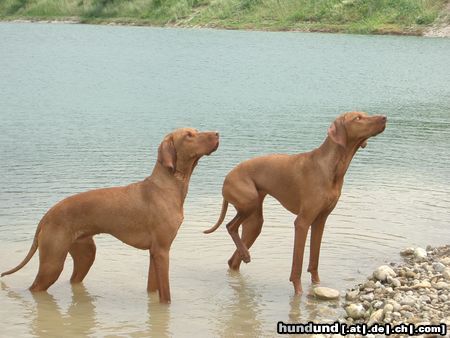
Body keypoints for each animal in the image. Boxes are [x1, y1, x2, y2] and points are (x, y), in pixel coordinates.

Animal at [1, 128, 220, 302]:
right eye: (189, 135)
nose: (218, 133)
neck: (168, 186)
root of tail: (47, 214)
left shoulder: (154, 253)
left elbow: (152, 288)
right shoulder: (162, 250)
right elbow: (166, 297)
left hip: (86, 254)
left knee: (73, 280)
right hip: (52, 262)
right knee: (35, 288)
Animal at [204, 112, 384, 294]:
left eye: (365, 114)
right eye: (358, 118)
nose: (384, 118)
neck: (331, 167)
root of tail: (227, 177)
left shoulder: (320, 221)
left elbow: (314, 260)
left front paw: (316, 284)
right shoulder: (302, 223)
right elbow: (297, 265)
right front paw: (299, 293)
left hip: (254, 223)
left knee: (233, 259)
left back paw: (243, 256)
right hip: (250, 203)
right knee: (230, 226)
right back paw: (245, 255)